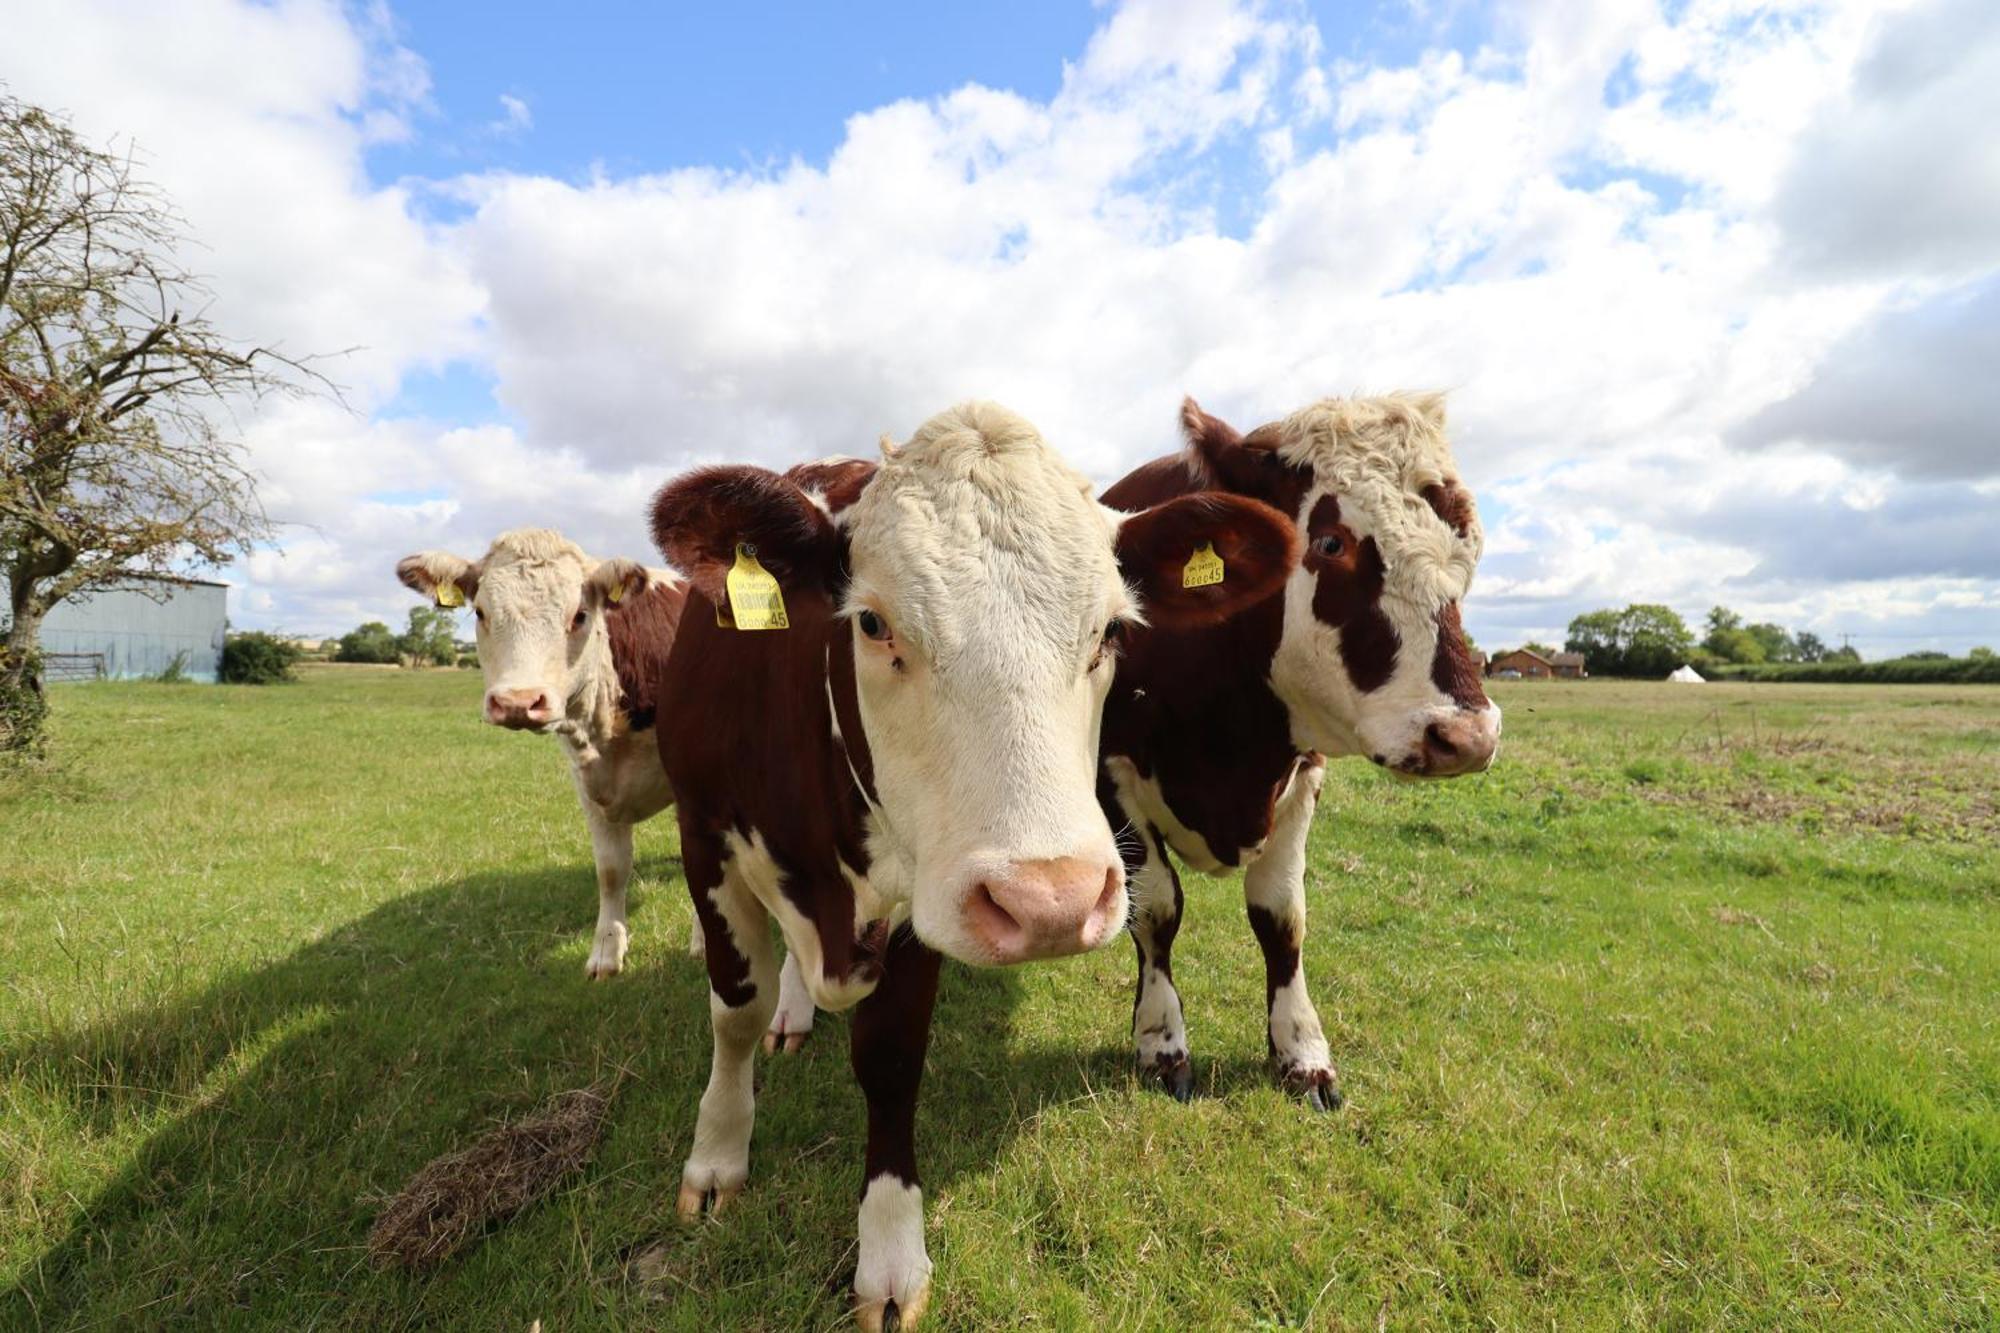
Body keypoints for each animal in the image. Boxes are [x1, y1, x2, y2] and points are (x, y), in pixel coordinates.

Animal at [394, 528, 692, 976]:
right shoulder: (588, 782)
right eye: (480, 612)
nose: (518, 701)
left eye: (580, 615)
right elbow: (611, 870)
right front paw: (606, 952)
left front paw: (704, 944)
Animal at [644, 400, 1296, 1320]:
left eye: (1109, 631)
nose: (1053, 900)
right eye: (872, 621)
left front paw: (890, 1253)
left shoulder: (924, 896)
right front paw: (716, 1155)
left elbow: (890, 1059)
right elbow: (733, 1010)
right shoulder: (703, 835)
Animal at [1096, 394, 1504, 1112]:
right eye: (1331, 542)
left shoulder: (1304, 774)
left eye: (1468, 548)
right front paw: (1161, 1041)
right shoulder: (1112, 770)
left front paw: (1302, 1051)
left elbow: (1281, 914)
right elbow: (1157, 905)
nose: (1467, 738)